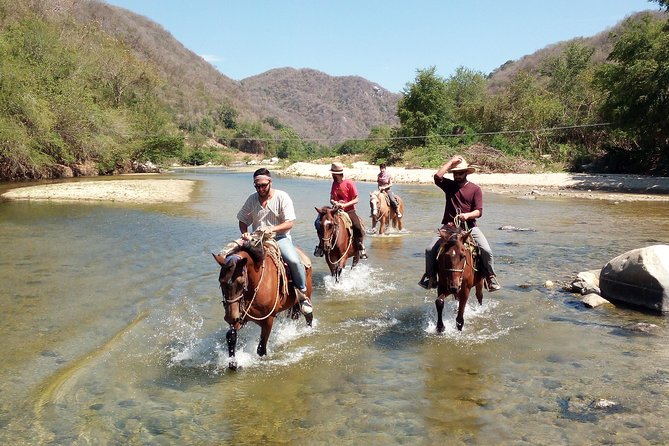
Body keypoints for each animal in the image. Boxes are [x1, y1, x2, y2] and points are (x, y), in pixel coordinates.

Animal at [211, 233, 314, 370]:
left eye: (241, 283)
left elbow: (261, 349)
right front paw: (232, 363)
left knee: (308, 316)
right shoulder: (240, 316)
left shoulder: (268, 320)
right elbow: (231, 336)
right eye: (221, 282)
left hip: (305, 297)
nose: (229, 317)